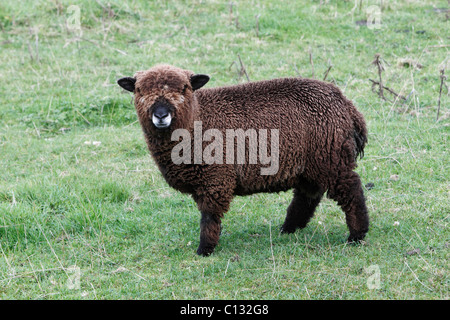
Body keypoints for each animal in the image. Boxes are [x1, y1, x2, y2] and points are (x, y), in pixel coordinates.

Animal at [118, 63, 370, 256]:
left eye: (185, 88)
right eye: (139, 90)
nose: (161, 115)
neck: (197, 118)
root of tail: (348, 106)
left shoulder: (215, 178)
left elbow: (209, 217)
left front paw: (205, 250)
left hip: (331, 158)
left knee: (351, 189)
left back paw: (357, 235)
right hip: (313, 162)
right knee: (308, 195)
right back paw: (289, 229)